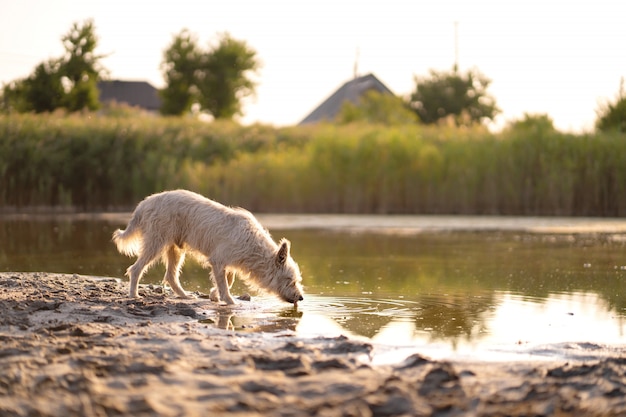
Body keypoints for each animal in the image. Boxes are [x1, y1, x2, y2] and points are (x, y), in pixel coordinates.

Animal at [114, 190, 304, 304]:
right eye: (292, 281)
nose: (301, 298)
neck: (253, 247)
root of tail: (145, 203)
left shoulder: (228, 263)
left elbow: (227, 281)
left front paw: (214, 294)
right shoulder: (218, 260)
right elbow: (224, 284)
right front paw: (229, 301)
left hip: (175, 249)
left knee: (171, 276)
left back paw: (184, 295)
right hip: (156, 243)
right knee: (136, 269)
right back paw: (134, 295)